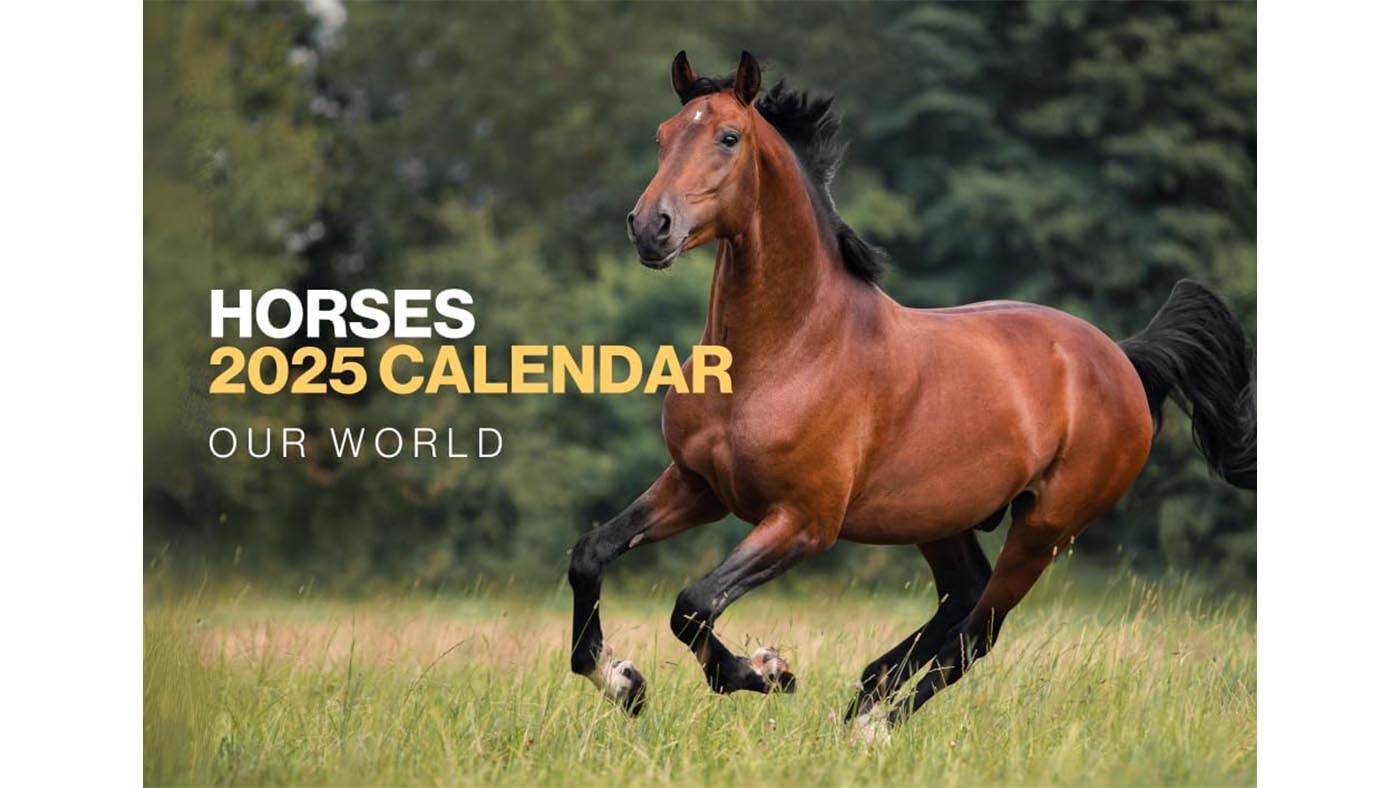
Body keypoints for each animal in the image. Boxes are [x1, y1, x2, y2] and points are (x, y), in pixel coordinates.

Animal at [568, 51, 1255, 739]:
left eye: (728, 137)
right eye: (662, 136)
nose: (650, 228)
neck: (785, 352)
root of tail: (1122, 357)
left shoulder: (804, 522)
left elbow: (693, 603)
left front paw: (766, 671)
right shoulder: (698, 486)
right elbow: (591, 555)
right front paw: (621, 680)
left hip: (1045, 527)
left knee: (979, 631)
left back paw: (873, 724)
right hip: (941, 516)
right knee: (962, 597)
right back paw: (866, 693)